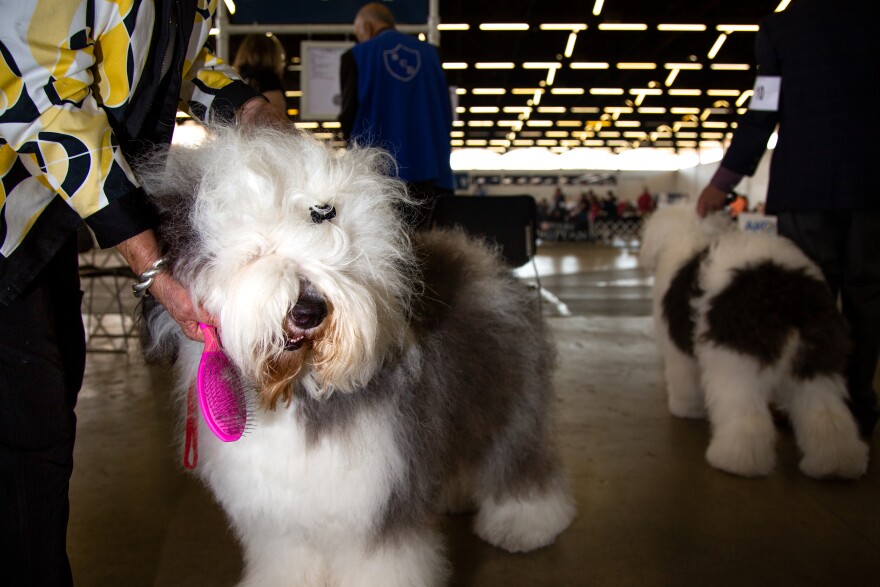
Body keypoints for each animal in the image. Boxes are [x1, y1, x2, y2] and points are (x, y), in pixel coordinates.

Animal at [138, 126, 576, 584]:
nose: (309, 312)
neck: (300, 388)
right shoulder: (279, 516)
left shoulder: (376, 501)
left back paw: (526, 523)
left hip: (508, 400)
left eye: (338, 258)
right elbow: (288, 555)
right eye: (256, 252)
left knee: (517, 459)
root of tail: (483, 262)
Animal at [636, 204, 868, 480]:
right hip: (817, 359)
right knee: (826, 412)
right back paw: (835, 464)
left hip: (735, 362)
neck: (690, 235)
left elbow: (685, 381)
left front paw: (686, 409)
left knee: (745, 416)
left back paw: (735, 461)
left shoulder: (678, 350)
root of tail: (784, 291)